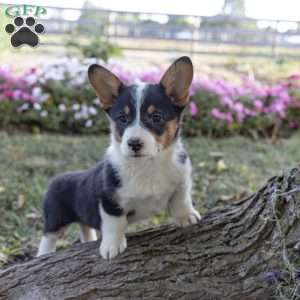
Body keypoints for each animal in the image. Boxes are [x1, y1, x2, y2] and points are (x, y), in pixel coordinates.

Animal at [38, 56, 202, 260]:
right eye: (123, 118)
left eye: (156, 117)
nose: (134, 143)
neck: (147, 165)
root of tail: (57, 178)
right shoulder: (109, 200)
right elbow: (113, 224)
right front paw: (112, 246)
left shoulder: (182, 179)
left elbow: (182, 198)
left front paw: (186, 216)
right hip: (55, 219)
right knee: (47, 239)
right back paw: (43, 255)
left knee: (85, 227)